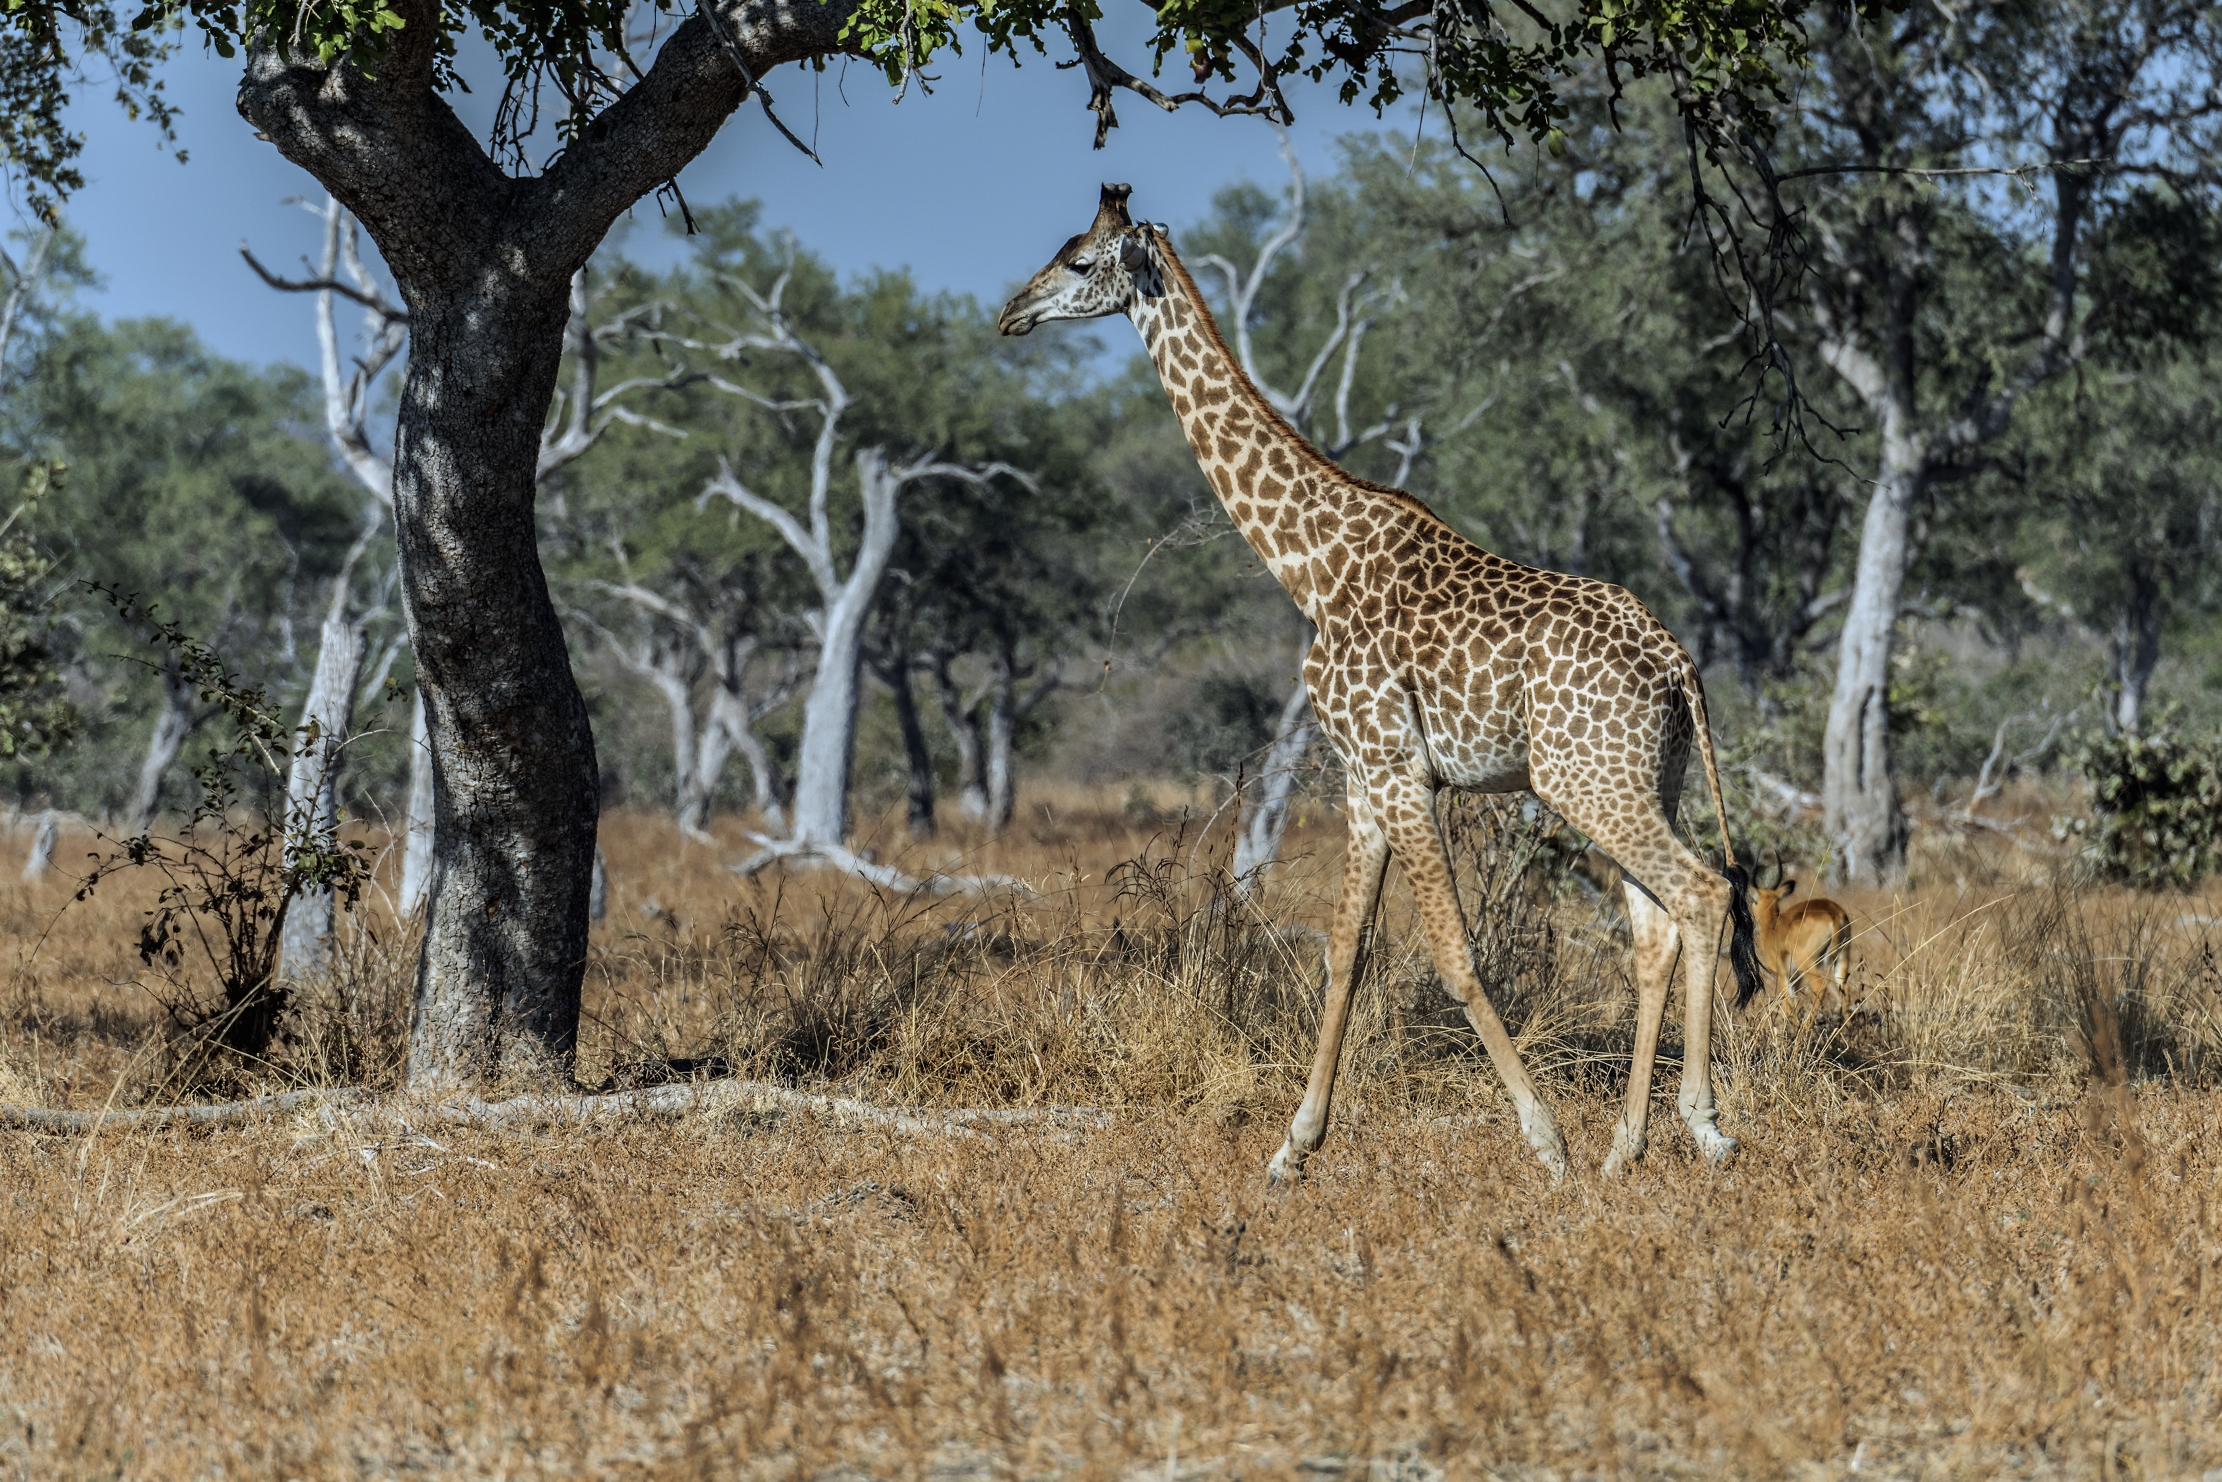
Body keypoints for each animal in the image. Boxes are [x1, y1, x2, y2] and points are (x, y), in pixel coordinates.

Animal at [1000, 184, 1765, 1180]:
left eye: (1080, 262)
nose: (1011, 313)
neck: (1310, 564)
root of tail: (1679, 665)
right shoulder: (1366, 778)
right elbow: (1345, 951)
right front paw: (1293, 1148)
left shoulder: (1400, 771)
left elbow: (1454, 954)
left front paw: (1545, 1139)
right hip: (1640, 780)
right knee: (1657, 926)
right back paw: (1626, 1149)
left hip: (1589, 782)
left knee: (1704, 894)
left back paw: (1701, 1127)